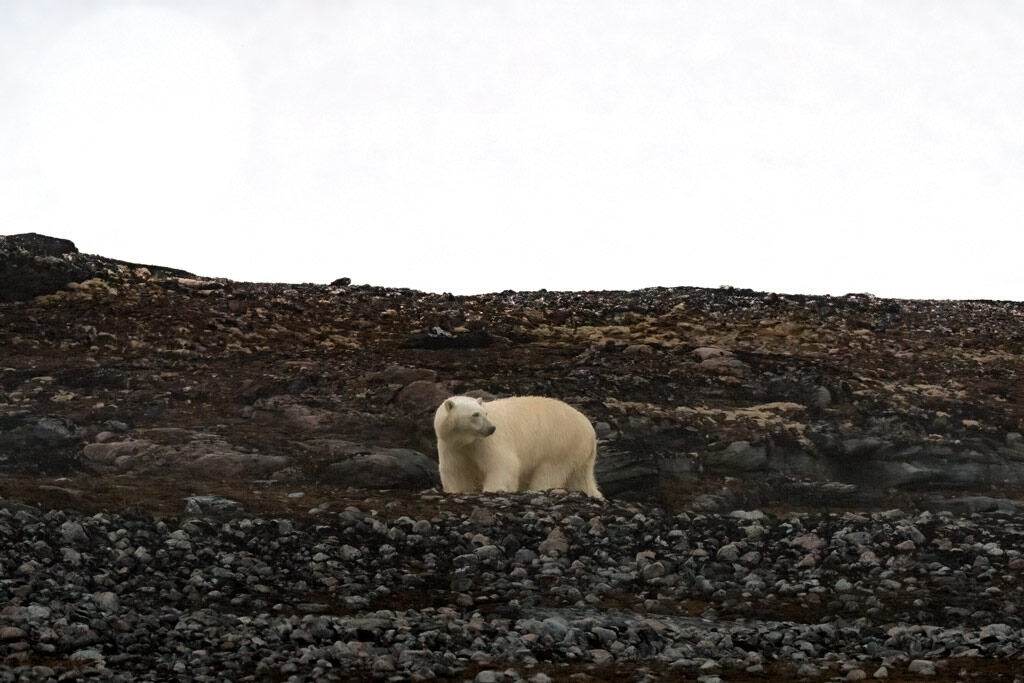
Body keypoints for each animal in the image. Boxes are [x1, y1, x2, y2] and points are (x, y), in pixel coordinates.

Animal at [433, 395, 602, 498]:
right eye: (475, 414)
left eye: (485, 413)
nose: (491, 428)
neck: (466, 440)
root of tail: (590, 430)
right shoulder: (451, 446)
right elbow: (455, 470)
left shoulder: (488, 442)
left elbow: (503, 464)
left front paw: (494, 489)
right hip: (578, 452)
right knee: (581, 478)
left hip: (560, 443)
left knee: (549, 472)